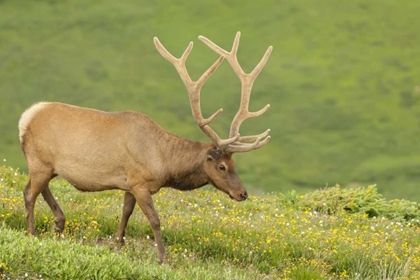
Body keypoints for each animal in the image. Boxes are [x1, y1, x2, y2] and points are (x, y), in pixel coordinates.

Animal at [18, 31, 272, 264]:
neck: (164, 164)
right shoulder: (140, 183)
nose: (243, 193)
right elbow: (155, 219)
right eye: (222, 167)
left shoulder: (129, 184)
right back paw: (32, 232)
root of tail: (25, 118)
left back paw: (59, 223)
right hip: (39, 161)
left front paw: (118, 243)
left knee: (38, 188)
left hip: (46, 165)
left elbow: (125, 213)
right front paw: (163, 258)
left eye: (234, 163)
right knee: (29, 192)